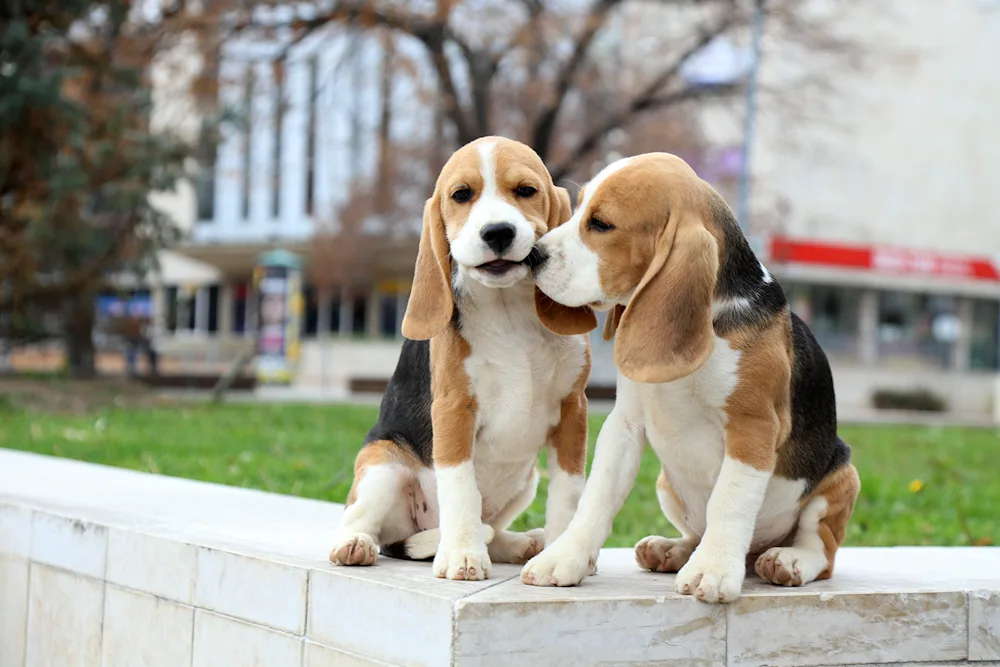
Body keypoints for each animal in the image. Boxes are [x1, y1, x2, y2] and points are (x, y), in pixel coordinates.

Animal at [328, 136, 596, 580]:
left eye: (526, 190)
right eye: (461, 195)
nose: (498, 231)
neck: (509, 313)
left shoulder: (573, 410)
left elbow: (569, 492)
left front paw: (559, 555)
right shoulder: (454, 408)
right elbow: (461, 488)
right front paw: (462, 555)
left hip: (526, 481)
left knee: (494, 528)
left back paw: (521, 543)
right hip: (382, 465)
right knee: (361, 522)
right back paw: (355, 544)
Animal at [524, 153, 860, 604]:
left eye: (601, 224)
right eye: (577, 210)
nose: (532, 254)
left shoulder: (753, 428)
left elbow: (728, 502)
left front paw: (713, 570)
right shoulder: (624, 425)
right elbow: (597, 497)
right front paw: (564, 557)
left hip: (842, 477)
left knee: (822, 548)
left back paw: (787, 560)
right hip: (667, 484)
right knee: (696, 531)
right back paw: (672, 550)